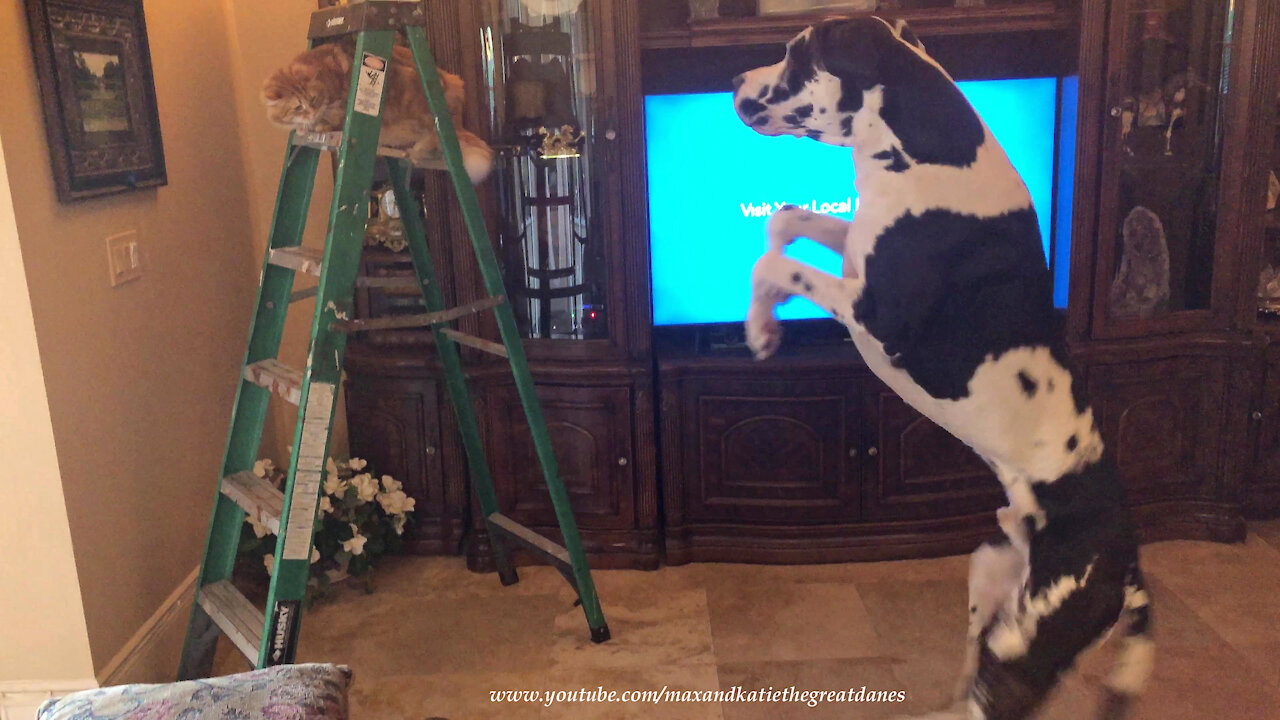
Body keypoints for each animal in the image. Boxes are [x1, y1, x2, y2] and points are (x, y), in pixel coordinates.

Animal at [261, 42, 494, 181]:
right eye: (298, 107)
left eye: (313, 99)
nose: (310, 112)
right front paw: (304, 126)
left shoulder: (342, 104)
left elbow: (331, 119)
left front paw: (315, 124)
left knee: (432, 134)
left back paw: (418, 149)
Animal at [737, 16, 1157, 717]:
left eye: (796, 55)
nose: (735, 80)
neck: (925, 154)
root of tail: (1127, 567)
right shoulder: (855, 252)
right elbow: (785, 222)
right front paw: (765, 319)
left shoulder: (874, 312)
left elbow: (771, 263)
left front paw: (758, 327)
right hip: (988, 574)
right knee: (968, 674)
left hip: (1027, 641)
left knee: (990, 697)